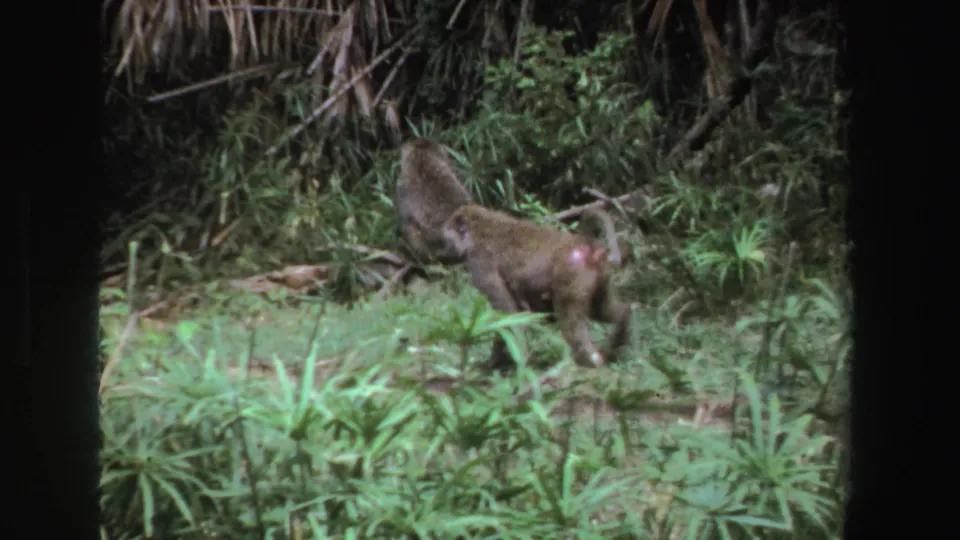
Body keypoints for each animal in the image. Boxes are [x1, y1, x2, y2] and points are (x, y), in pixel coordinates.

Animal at [442, 204, 631, 371]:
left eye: (447, 237)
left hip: (571, 273)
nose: (443, 253)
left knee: (568, 317)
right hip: (601, 276)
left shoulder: (480, 264)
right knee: (601, 309)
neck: (479, 230)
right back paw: (620, 330)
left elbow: (507, 311)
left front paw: (504, 361)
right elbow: (514, 311)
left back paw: (589, 361)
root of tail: (584, 244)